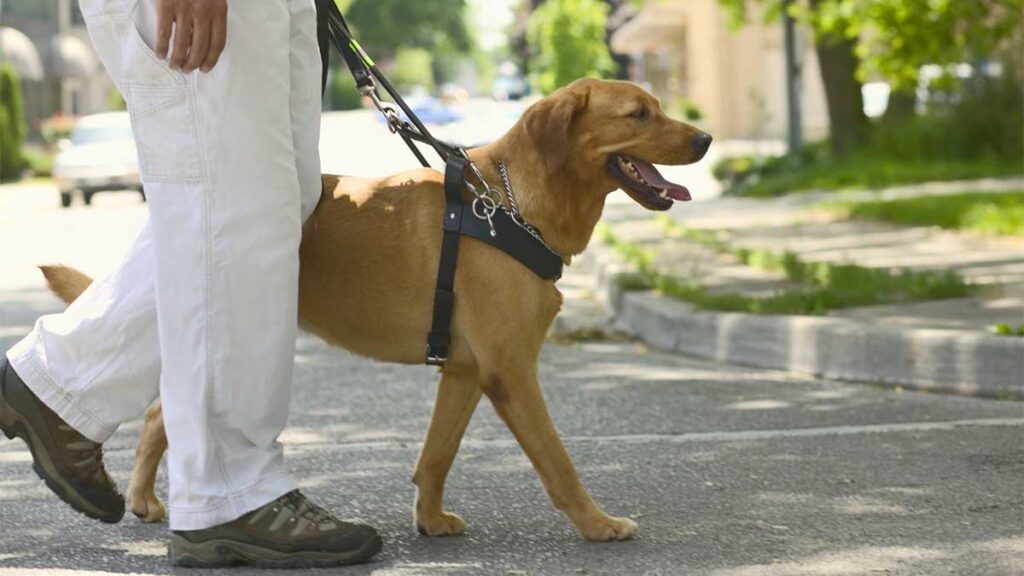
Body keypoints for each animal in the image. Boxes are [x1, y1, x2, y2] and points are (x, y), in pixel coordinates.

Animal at [39, 78, 712, 541]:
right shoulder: (512, 372)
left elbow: (436, 455)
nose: (705, 138)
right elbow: (558, 460)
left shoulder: (467, 372)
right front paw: (597, 524)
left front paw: (429, 518)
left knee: (159, 413)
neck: (506, 204)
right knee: (159, 410)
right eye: (638, 113)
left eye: (657, 105)